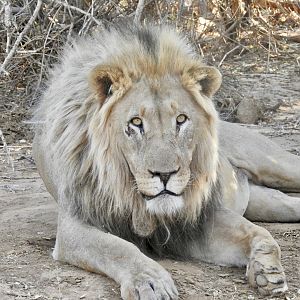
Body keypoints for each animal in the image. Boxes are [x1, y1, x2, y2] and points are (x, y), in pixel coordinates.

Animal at [32, 22, 300, 298]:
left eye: (181, 120)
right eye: (136, 123)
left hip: (276, 165)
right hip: (265, 203)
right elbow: (116, 247)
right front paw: (150, 282)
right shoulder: (74, 225)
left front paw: (266, 269)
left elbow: (254, 231)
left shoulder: (196, 221)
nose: (165, 175)